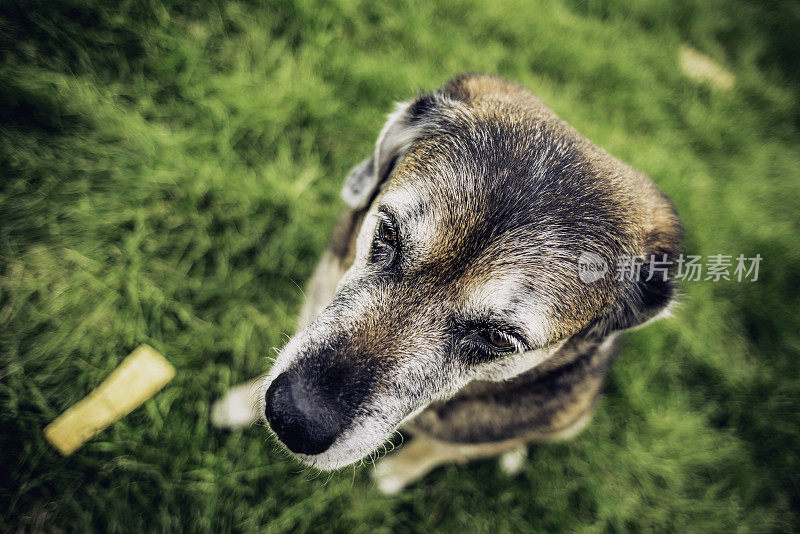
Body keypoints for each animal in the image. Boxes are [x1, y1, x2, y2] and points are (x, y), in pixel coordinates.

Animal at [212, 74, 680, 494]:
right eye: (387, 232)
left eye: (499, 337)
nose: (292, 417)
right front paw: (239, 404)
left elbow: (442, 449)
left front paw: (397, 474)